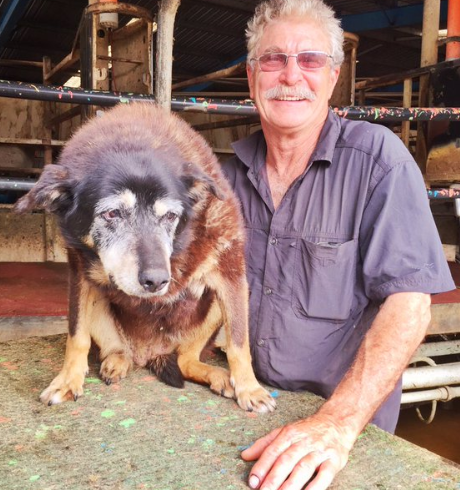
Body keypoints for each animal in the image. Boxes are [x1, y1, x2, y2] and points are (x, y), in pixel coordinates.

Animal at [16, 103, 274, 414]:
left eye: (171, 216)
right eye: (112, 213)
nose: (157, 281)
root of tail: (150, 355)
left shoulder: (231, 274)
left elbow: (238, 342)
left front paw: (249, 388)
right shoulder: (79, 274)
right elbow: (76, 335)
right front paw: (67, 381)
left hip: (209, 309)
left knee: (185, 360)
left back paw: (219, 376)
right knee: (117, 350)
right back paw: (116, 362)